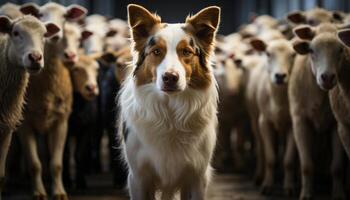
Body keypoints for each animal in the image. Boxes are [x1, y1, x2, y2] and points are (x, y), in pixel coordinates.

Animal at [16, 2, 87, 199]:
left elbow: (56, 164)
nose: (54, 34)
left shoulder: (61, 121)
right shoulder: (25, 123)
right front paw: (39, 192)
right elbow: (34, 164)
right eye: (39, 14)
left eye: (64, 16)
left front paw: (59, 191)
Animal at [119, 3, 220, 200]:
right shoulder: (138, 177)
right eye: (156, 51)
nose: (170, 77)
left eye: (186, 52)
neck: (170, 112)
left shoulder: (197, 177)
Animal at [250, 37, 296, 195]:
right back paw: (259, 176)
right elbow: (270, 157)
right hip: (255, 119)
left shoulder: (292, 124)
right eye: (268, 54)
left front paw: (289, 187)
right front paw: (267, 186)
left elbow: (288, 160)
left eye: (293, 54)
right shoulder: (264, 122)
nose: (280, 76)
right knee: (261, 148)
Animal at [290, 23, 348, 198]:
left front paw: (338, 194)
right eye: (311, 50)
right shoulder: (300, 121)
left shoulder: (337, 124)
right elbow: (307, 165)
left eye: (341, 50)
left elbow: (337, 167)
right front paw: (306, 194)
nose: (327, 77)